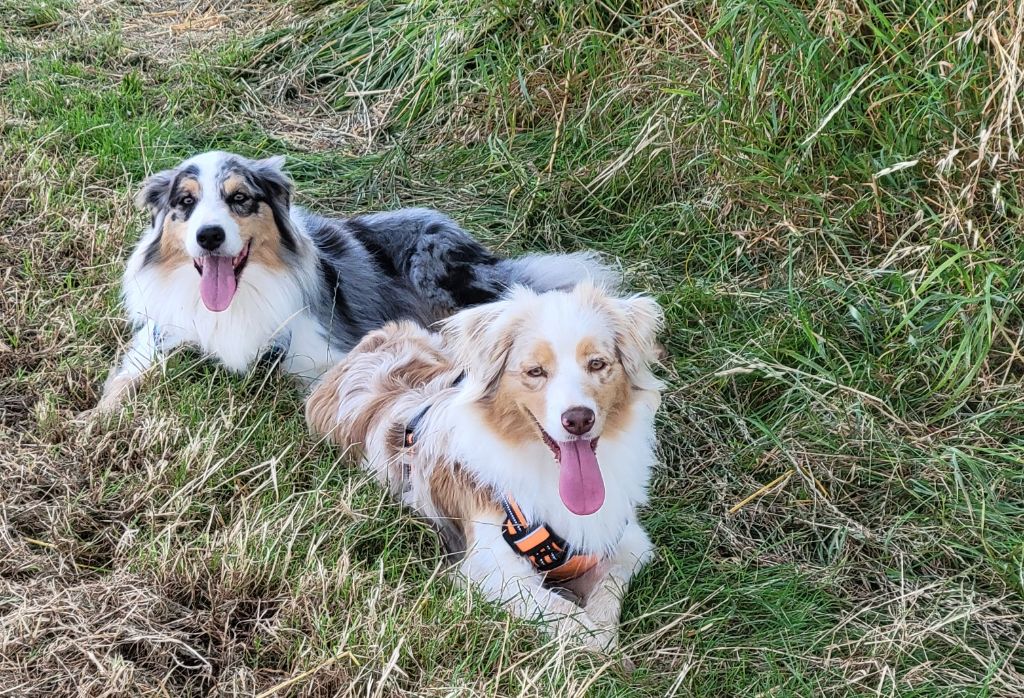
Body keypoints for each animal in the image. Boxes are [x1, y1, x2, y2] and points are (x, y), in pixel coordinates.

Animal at [94, 151, 613, 413]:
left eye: (239, 198)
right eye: (185, 202)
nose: (209, 236)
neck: (236, 298)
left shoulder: (324, 352)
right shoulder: (164, 336)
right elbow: (125, 381)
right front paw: (96, 420)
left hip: (438, 271)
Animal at [305, 282, 663, 649]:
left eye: (597, 364)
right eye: (535, 371)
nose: (578, 419)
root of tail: (367, 345)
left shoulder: (628, 542)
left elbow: (608, 595)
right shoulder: (492, 571)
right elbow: (570, 618)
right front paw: (602, 651)